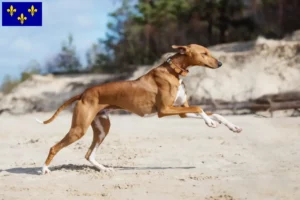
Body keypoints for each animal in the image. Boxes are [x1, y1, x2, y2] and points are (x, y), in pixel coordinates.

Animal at [35, 43, 241, 173]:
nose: (220, 63)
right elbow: (199, 108)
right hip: (79, 129)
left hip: (102, 128)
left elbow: (214, 113)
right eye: (204, 53)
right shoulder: (165, 110)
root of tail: (84, 92)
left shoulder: (181, 111)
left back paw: (104, 169)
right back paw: (44, 169)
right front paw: (210, 123)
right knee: (54, 147)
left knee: (88, 154)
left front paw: (232, 126)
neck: (174, 71)